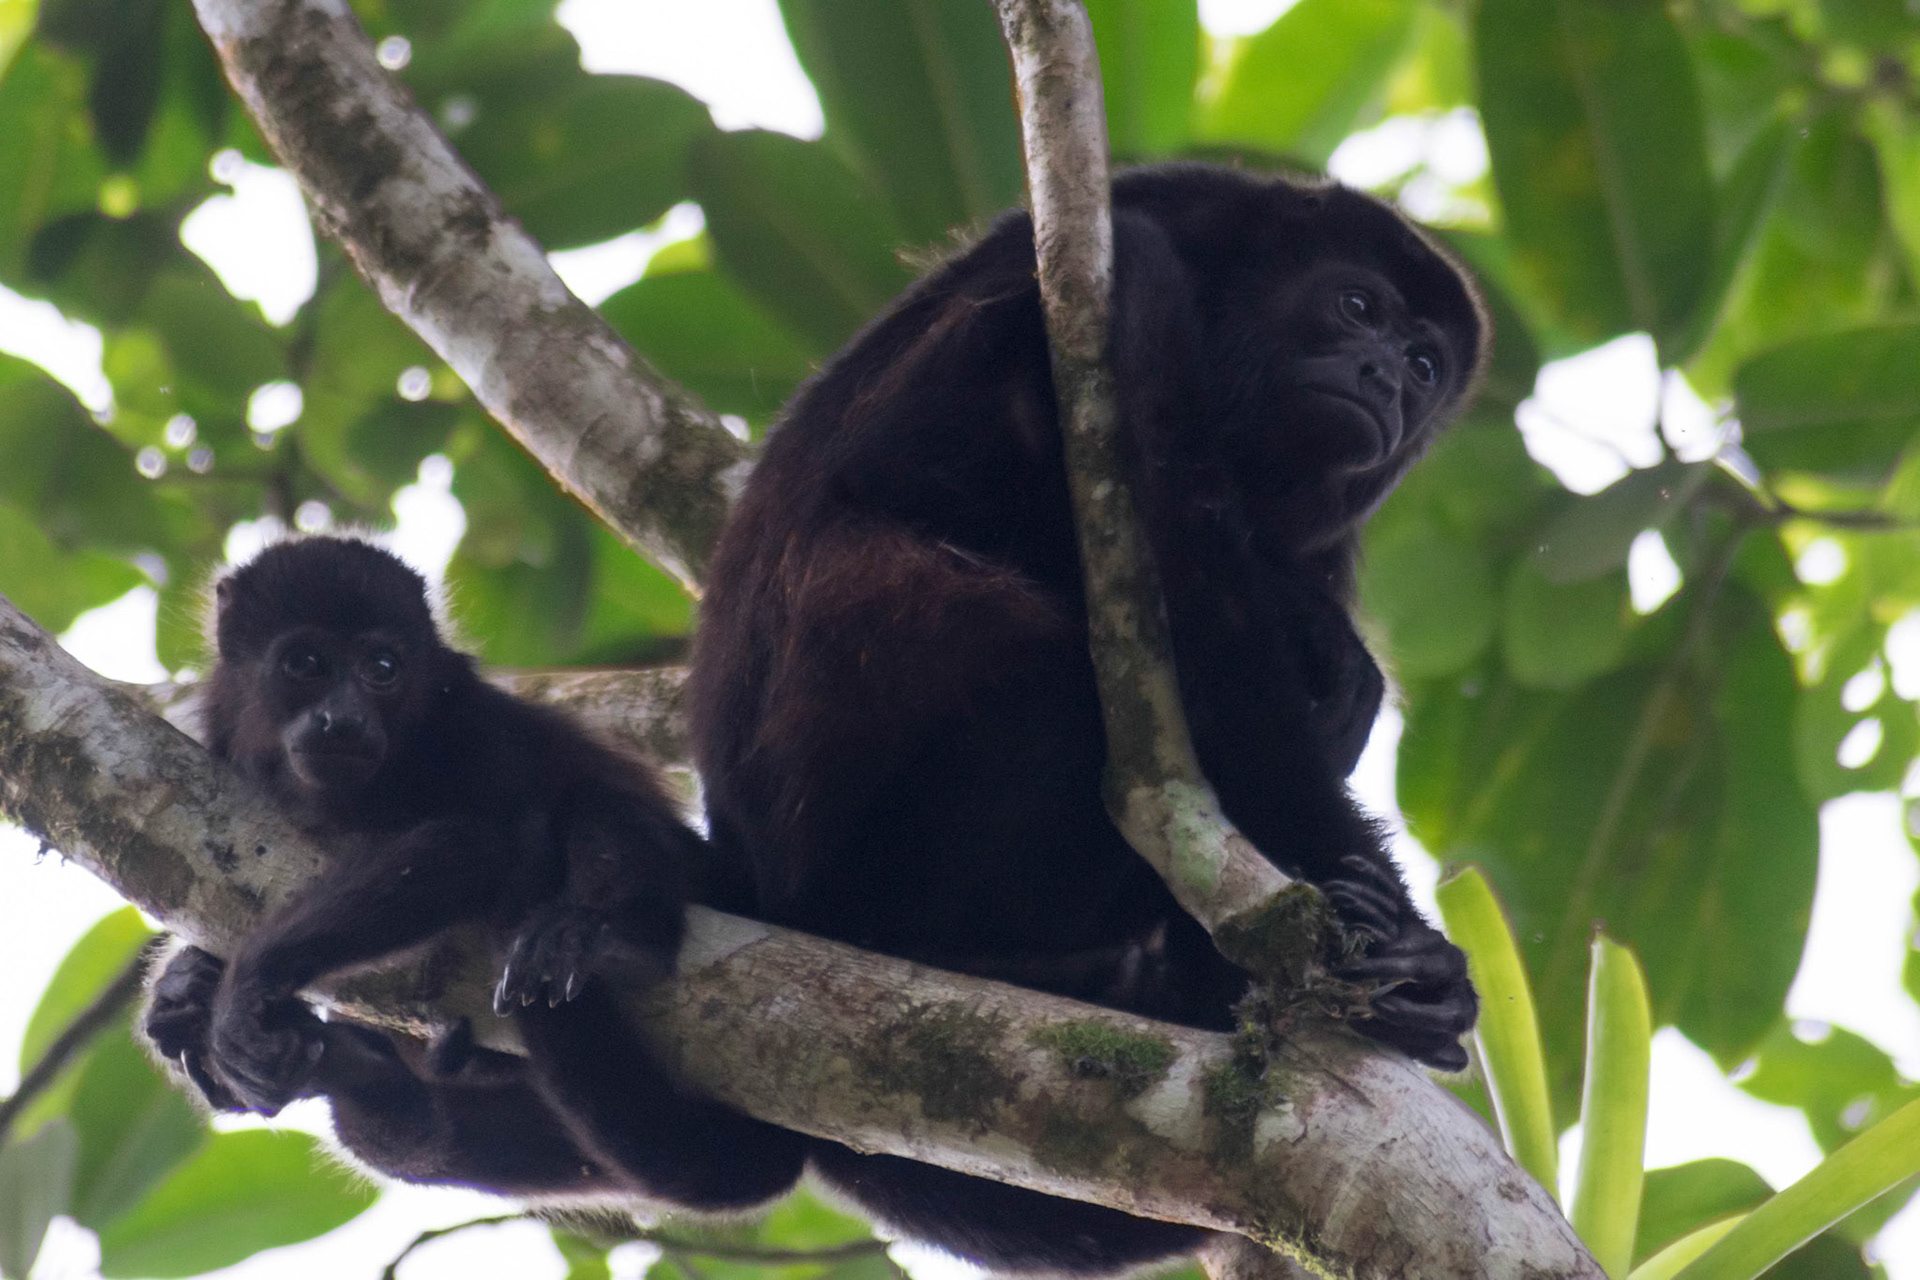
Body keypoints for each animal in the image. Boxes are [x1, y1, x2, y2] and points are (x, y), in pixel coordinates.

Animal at [144, 535, 805, 1209]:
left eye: (382, 668)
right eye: (304, 663)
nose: (344, 719)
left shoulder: (464, 727)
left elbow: (479, 842)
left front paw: (248, 986)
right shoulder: (221, 743)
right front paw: (186, 987)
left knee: (601, 811)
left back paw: (618, 941)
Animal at [686, 163, 1490, 1272]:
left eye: (1424, 364)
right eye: (1359, 307)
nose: (1385, 380)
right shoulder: (1094, 281)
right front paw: (1396, 948)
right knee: (981, 623)